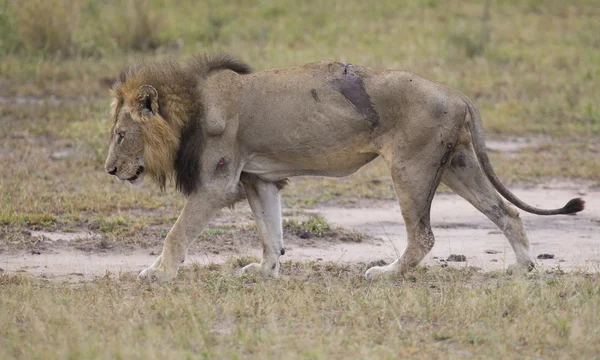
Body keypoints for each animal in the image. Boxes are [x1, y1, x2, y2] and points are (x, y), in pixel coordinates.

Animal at [105, 54, 584, 284]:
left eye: (120, 135)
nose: (109, 170)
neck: (190, 108)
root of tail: (457, 92)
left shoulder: (218, 183)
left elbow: (177, 232)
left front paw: (157, 273)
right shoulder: (259, 179)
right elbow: (269, 233)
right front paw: (264, 272)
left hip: (411, 167)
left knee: (423, 237)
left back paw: (386, 274)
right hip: (457, 166)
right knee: (508, 213)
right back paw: (523, 269)